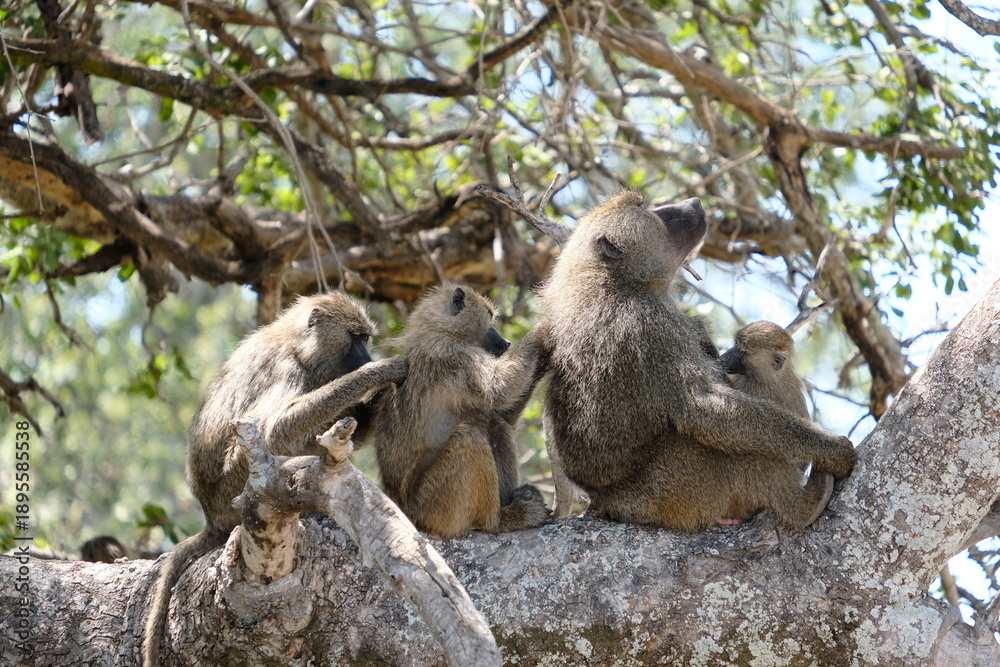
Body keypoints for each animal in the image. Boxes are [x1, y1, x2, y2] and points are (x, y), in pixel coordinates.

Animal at [143, 291, 407, 667]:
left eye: (365, 338)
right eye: (355, 338)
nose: (366, 357)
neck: (298, 345)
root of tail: (211, 515)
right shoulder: (287, 369)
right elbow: (275, 429)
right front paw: (382, 372)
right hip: (238, 484)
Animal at [370, 283, 550, 539]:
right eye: (489, 317)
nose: (506, 342)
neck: (439, 330)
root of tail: (407, 513)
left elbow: (501, 412)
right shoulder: (455, 356)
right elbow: (499, 388)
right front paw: (543, 328)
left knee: (495, 424)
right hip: (435, 504)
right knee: (469, 436)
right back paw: (500, 521)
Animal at [536, 190, 857, 533]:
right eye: (652, 212)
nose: (695, 202)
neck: (613, 280)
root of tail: (607, 502)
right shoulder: (655, 326)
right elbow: (702, 407)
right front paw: (832, 450)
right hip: (673, 488)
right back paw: (804, 505)